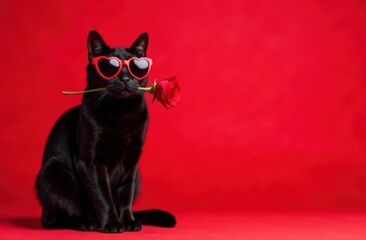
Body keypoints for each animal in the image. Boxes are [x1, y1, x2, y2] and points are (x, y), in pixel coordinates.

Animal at [35, 30, 176, 232]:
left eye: (136, 67)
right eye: (109, 67)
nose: (125, 79)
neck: (121, 113)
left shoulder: (131, 163)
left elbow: (125, 194)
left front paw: (128, 221)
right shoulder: (91, 162)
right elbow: (103, 195)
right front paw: (112, 223)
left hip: (138, 177)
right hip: (52, 172)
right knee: (53, 218)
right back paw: (85, 222)